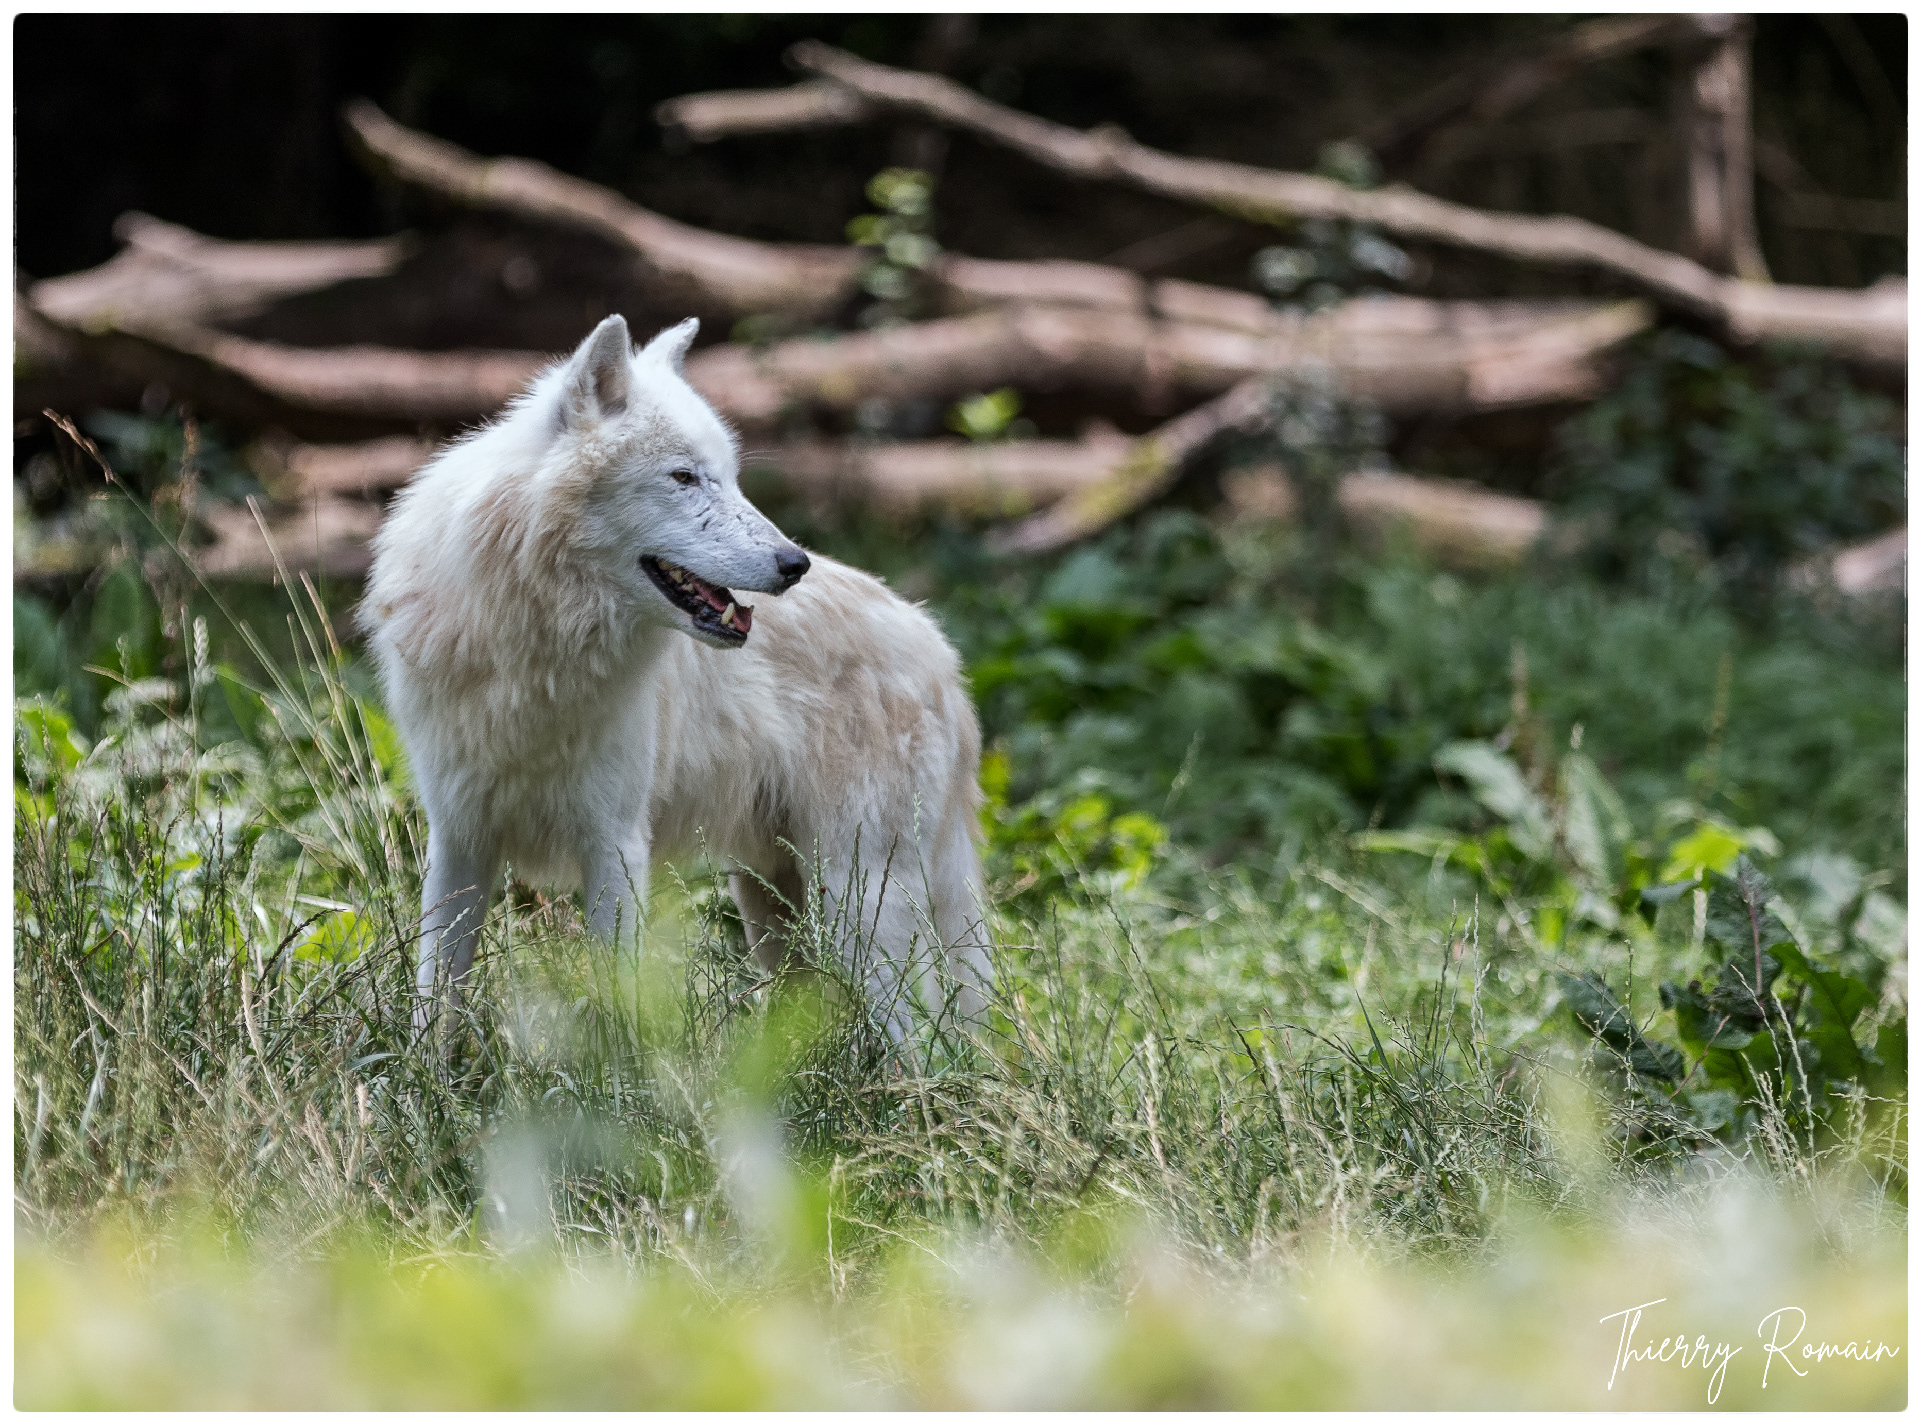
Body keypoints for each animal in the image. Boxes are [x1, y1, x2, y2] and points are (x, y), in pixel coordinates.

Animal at [360, 314, 991, 1039]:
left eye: (732, 477)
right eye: (685, 477)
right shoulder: (459, 840)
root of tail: (937, 647)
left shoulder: (615, 847)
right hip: (774, 911)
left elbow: (614, 1010)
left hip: (859, 908)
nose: (794, 563)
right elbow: (434, 1008)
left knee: (929, 1040)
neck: (537, 644)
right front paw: (429, 1073)